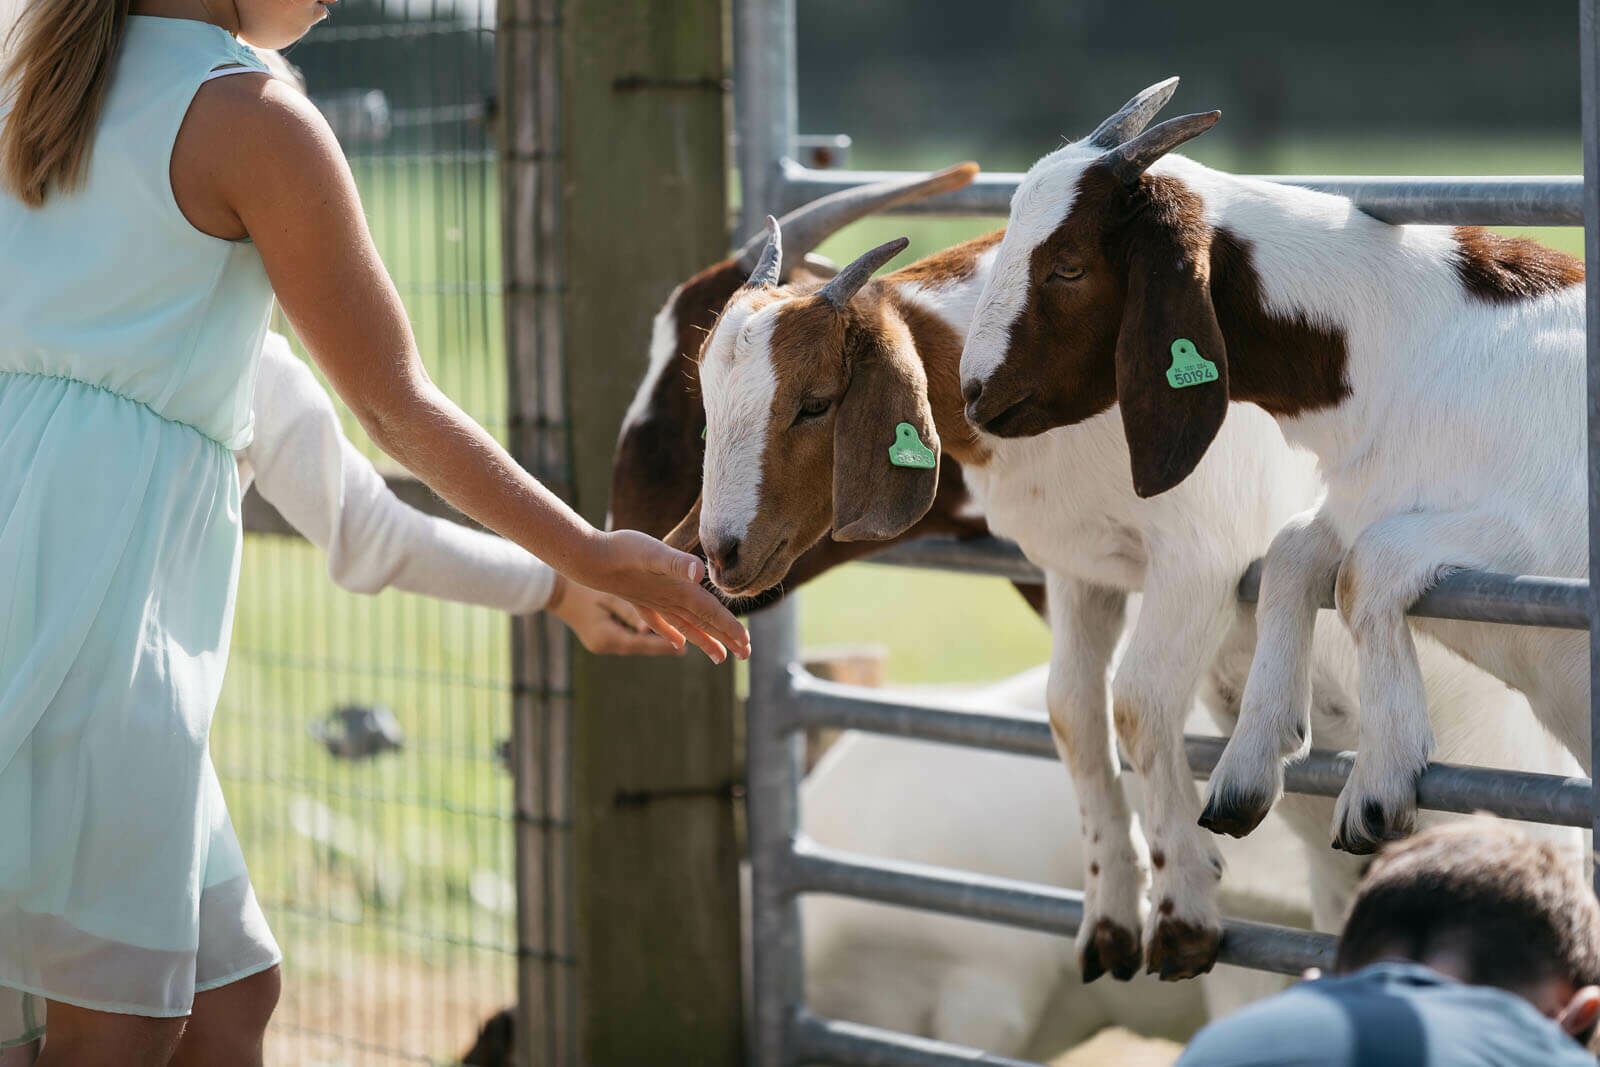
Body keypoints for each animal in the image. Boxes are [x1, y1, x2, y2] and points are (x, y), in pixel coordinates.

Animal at [953, 79, 1593, 857]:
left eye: (1069, 267)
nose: (973, 392)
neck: (1414, 345)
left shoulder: (1532, 539)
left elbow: (1364, 567)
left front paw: (1378, 785)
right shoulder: (1358, 499)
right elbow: (1292, 553)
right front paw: (1249, 769)